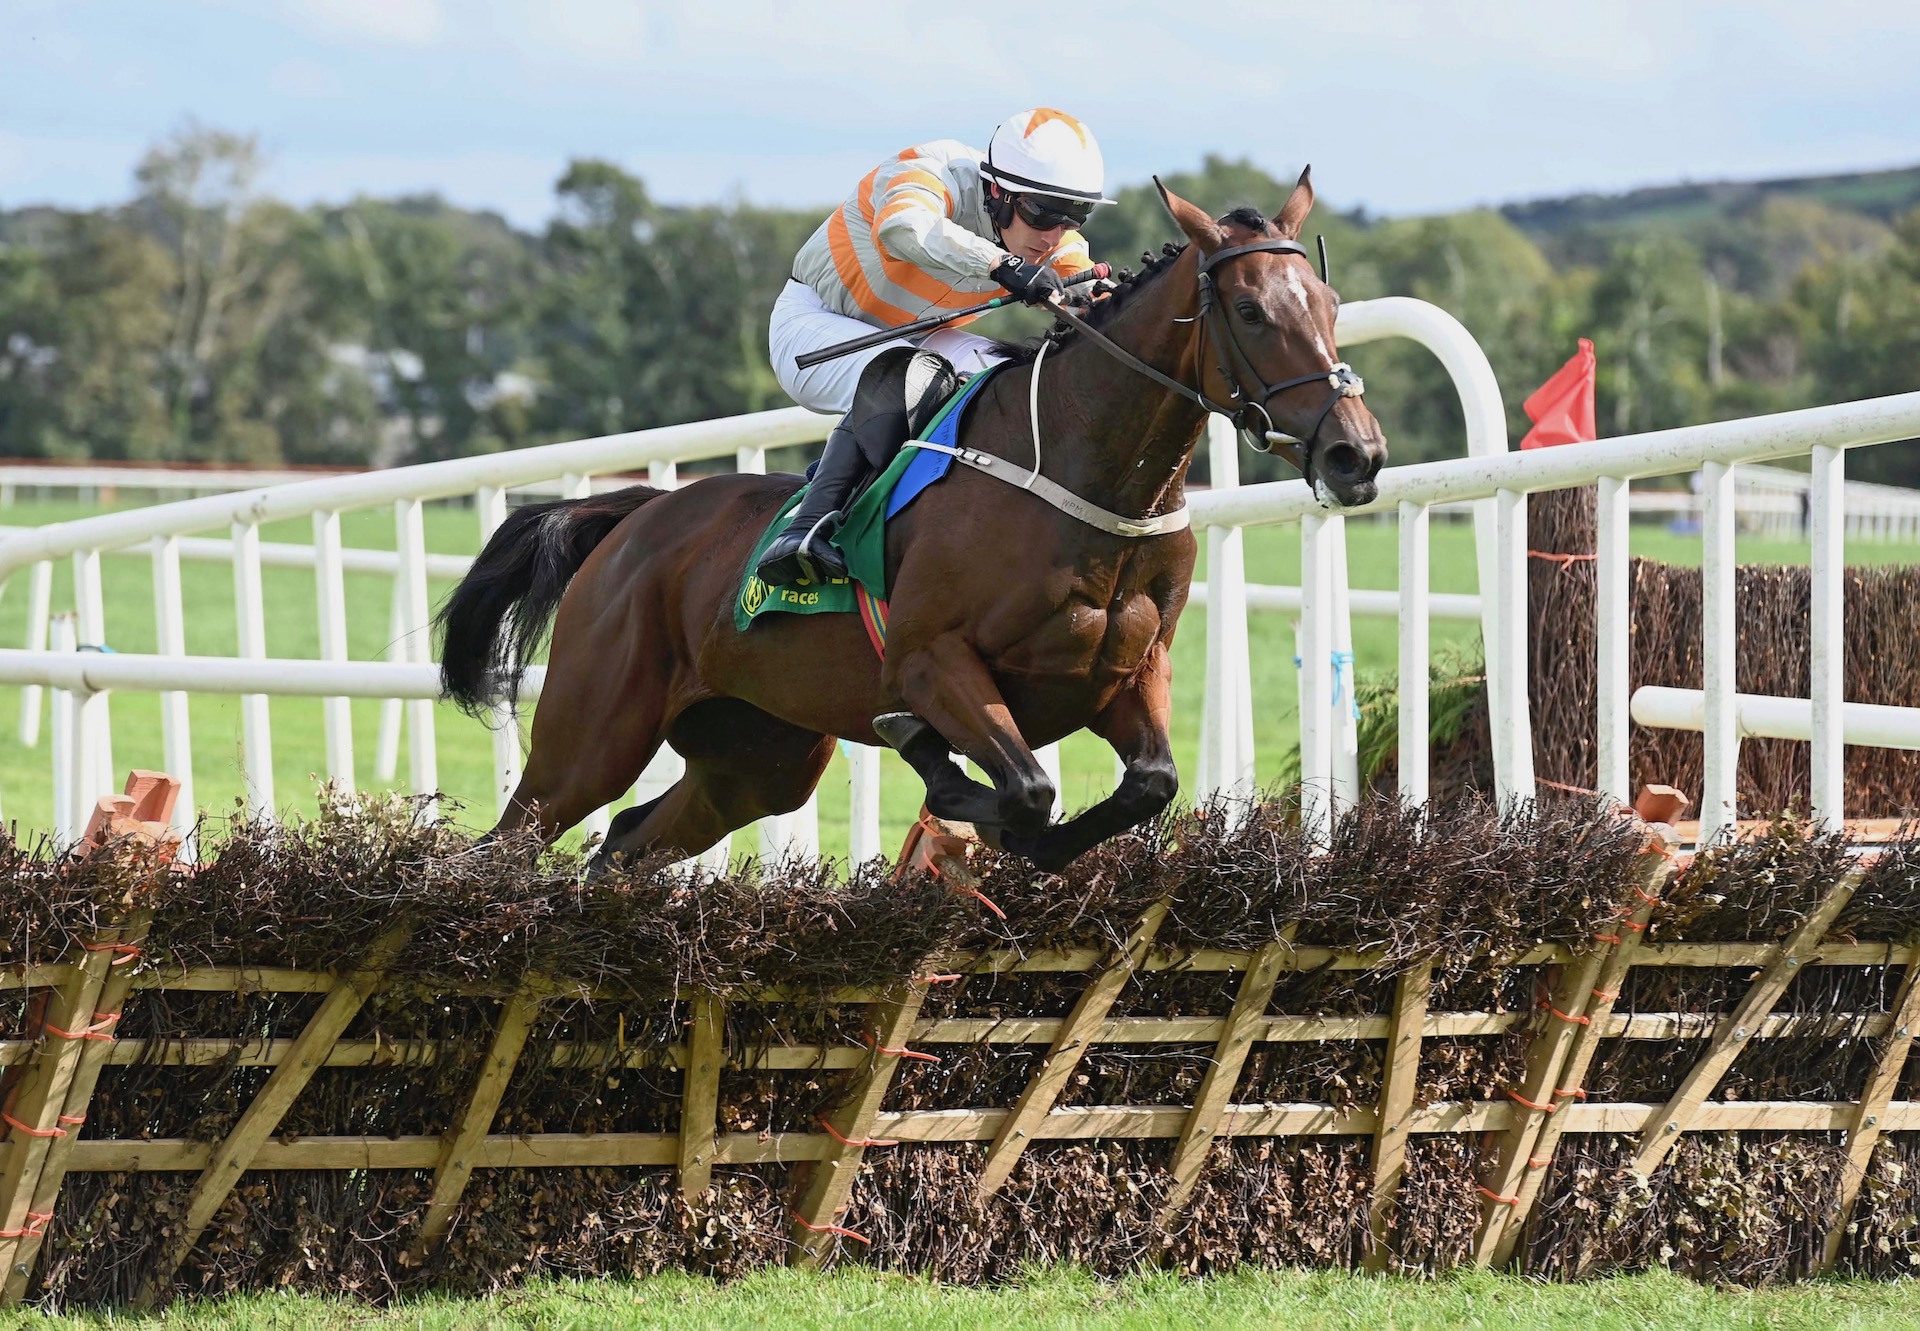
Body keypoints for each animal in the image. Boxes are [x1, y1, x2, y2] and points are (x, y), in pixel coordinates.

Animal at [439, 169, 1382, 871]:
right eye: (1251, 311)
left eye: (1331, 305)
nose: (1357, 454)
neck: (1082, 473)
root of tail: (639, 518)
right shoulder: (933, 661)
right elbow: (1022, 785)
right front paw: (956, 786)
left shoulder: (1124, 673)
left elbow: (1148, 782)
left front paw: (1032, 843)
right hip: (593, 735)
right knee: (508, 841)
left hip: (756, 759)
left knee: (628, 842)